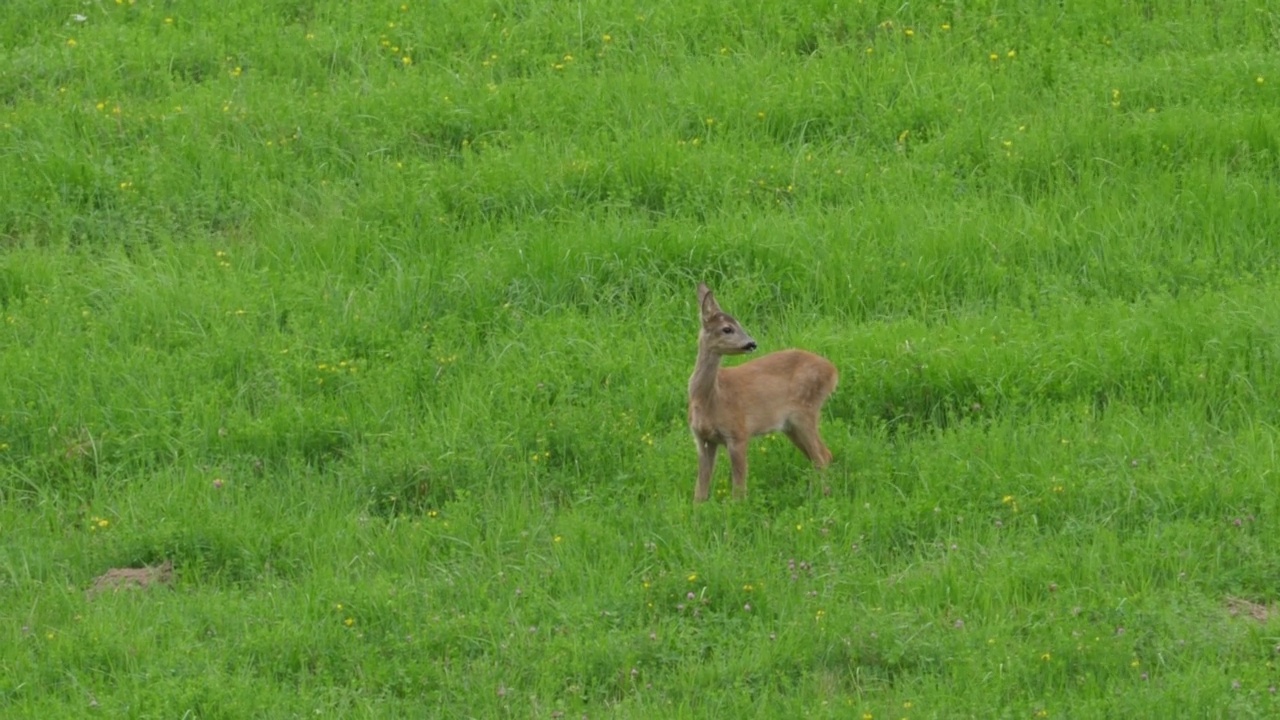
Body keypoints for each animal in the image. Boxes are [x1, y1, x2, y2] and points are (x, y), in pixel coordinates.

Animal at [691, 280, 839, 499]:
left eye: (739, 324)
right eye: (727, 329)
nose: (751, 343)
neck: (710, 400)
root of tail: (833, 371)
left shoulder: (738, 432)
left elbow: (739, 489)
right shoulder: (702, 439)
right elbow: (700, 490)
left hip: (805, 411)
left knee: (822, 456)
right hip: (790, 426)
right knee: (821, 455)